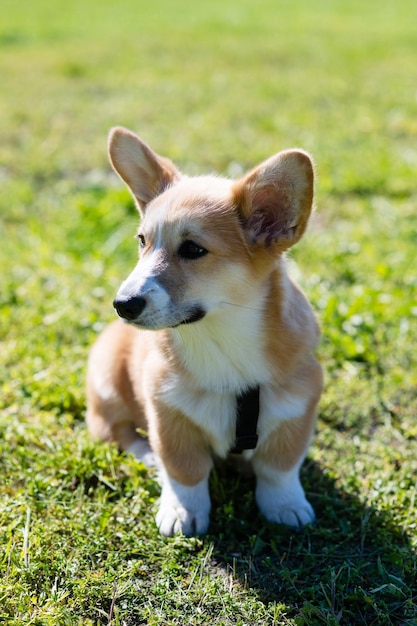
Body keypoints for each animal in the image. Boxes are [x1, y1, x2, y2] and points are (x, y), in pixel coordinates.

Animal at [87, 128, 322, 536]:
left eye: (193, 249)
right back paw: (147, 455)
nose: (123, 304)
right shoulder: (167, 412)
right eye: (142, 241)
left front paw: (286, 507)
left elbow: (279, 469)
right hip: (106, 385)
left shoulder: (298, 405)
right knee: (118, 432)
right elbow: (185, 471)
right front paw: (182, 512)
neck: (220, 337)